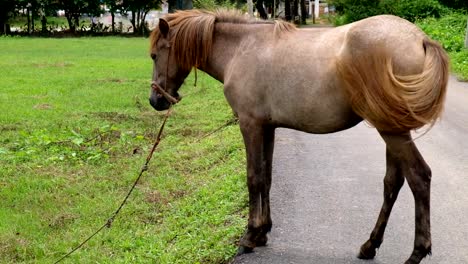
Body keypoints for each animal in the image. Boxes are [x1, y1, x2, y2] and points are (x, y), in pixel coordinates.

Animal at [150, 9, 450, 262]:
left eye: (154, 55)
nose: (156, 100)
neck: (241, 49)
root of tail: (420, 39)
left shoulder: (250, 125)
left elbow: (253, 177)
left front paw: (250, 235)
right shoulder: (267, 127)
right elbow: (266, 177)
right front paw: (263, 231)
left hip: (392, 131)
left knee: (419, 177)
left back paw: (416, 253)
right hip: (392, 129)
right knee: (393, 183)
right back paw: (369, 245)